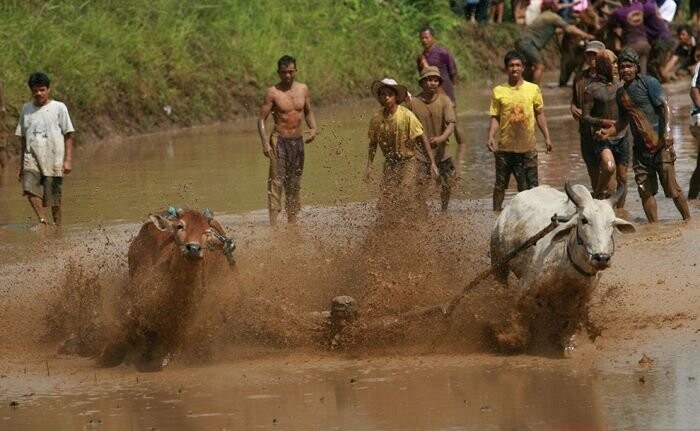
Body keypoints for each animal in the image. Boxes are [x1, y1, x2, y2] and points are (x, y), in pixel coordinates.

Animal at [99, 208, 235, 370]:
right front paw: (109, 355)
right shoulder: (137, 302)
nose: (193, 248)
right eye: (180, 226)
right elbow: (129, 326)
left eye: (206, 231)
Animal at [492, 182, 636, 352]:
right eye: (584, 220)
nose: (601, 258)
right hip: (498, 264)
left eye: (612, 223)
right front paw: (512, 339)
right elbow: (516, 313)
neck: (567, 261)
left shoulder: (583, 296)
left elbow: (572, 320)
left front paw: (571, 344)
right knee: (501, 285)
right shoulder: (526, 287)